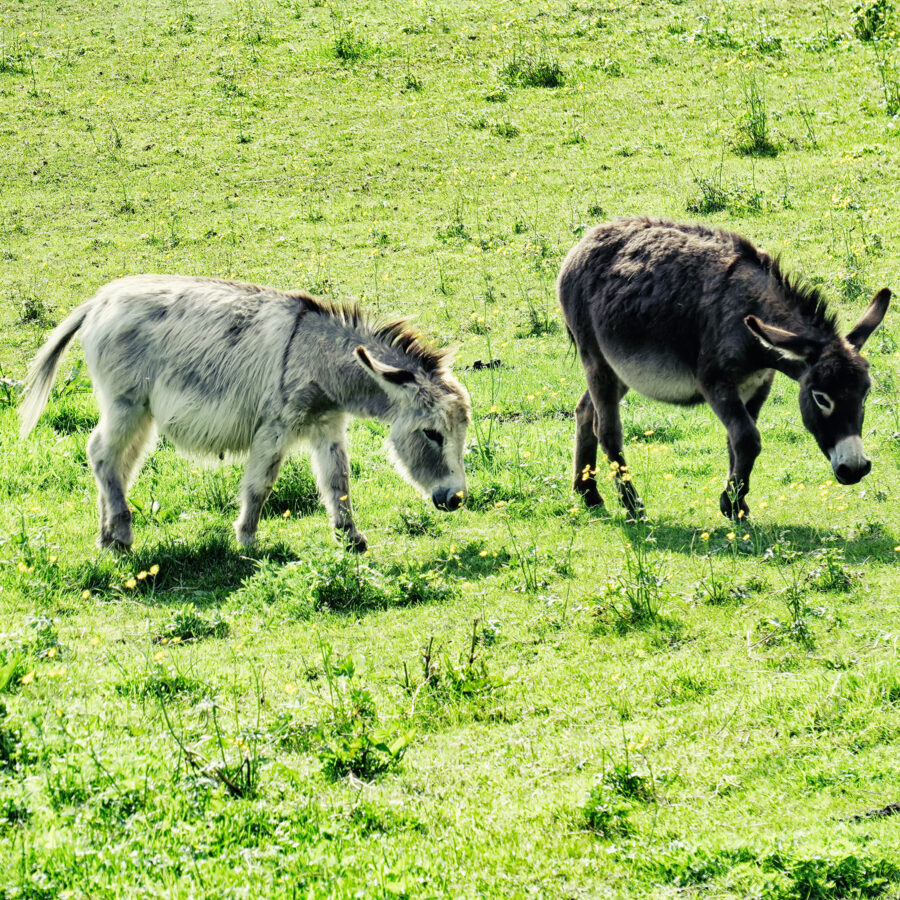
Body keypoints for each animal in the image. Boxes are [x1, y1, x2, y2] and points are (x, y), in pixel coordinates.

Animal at [20, 275, 471, 552]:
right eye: (433, 434)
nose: (456, 499)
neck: (317, 356)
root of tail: (99, 300)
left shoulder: (326, 425)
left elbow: (337, 482)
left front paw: (350, 538)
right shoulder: (276, 426)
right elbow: (260, 485)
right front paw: (248, 540)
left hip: (140, 413)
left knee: (118, 462)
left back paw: (107, 537)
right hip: (125, 403)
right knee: (100, 453)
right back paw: (124, 533)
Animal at [558, 217, 889, 519]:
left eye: (865, 395)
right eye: (821, 398)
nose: (855, 469)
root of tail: (589, 238)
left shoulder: (758, 384)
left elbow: (737, 440)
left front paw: (737, 502)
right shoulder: (715, 382)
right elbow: (748, 439)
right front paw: (730, 504)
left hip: (619, 369)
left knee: (585, 411)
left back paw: (587, 492)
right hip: (595, 358)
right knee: (608, 430)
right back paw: (631, 504)